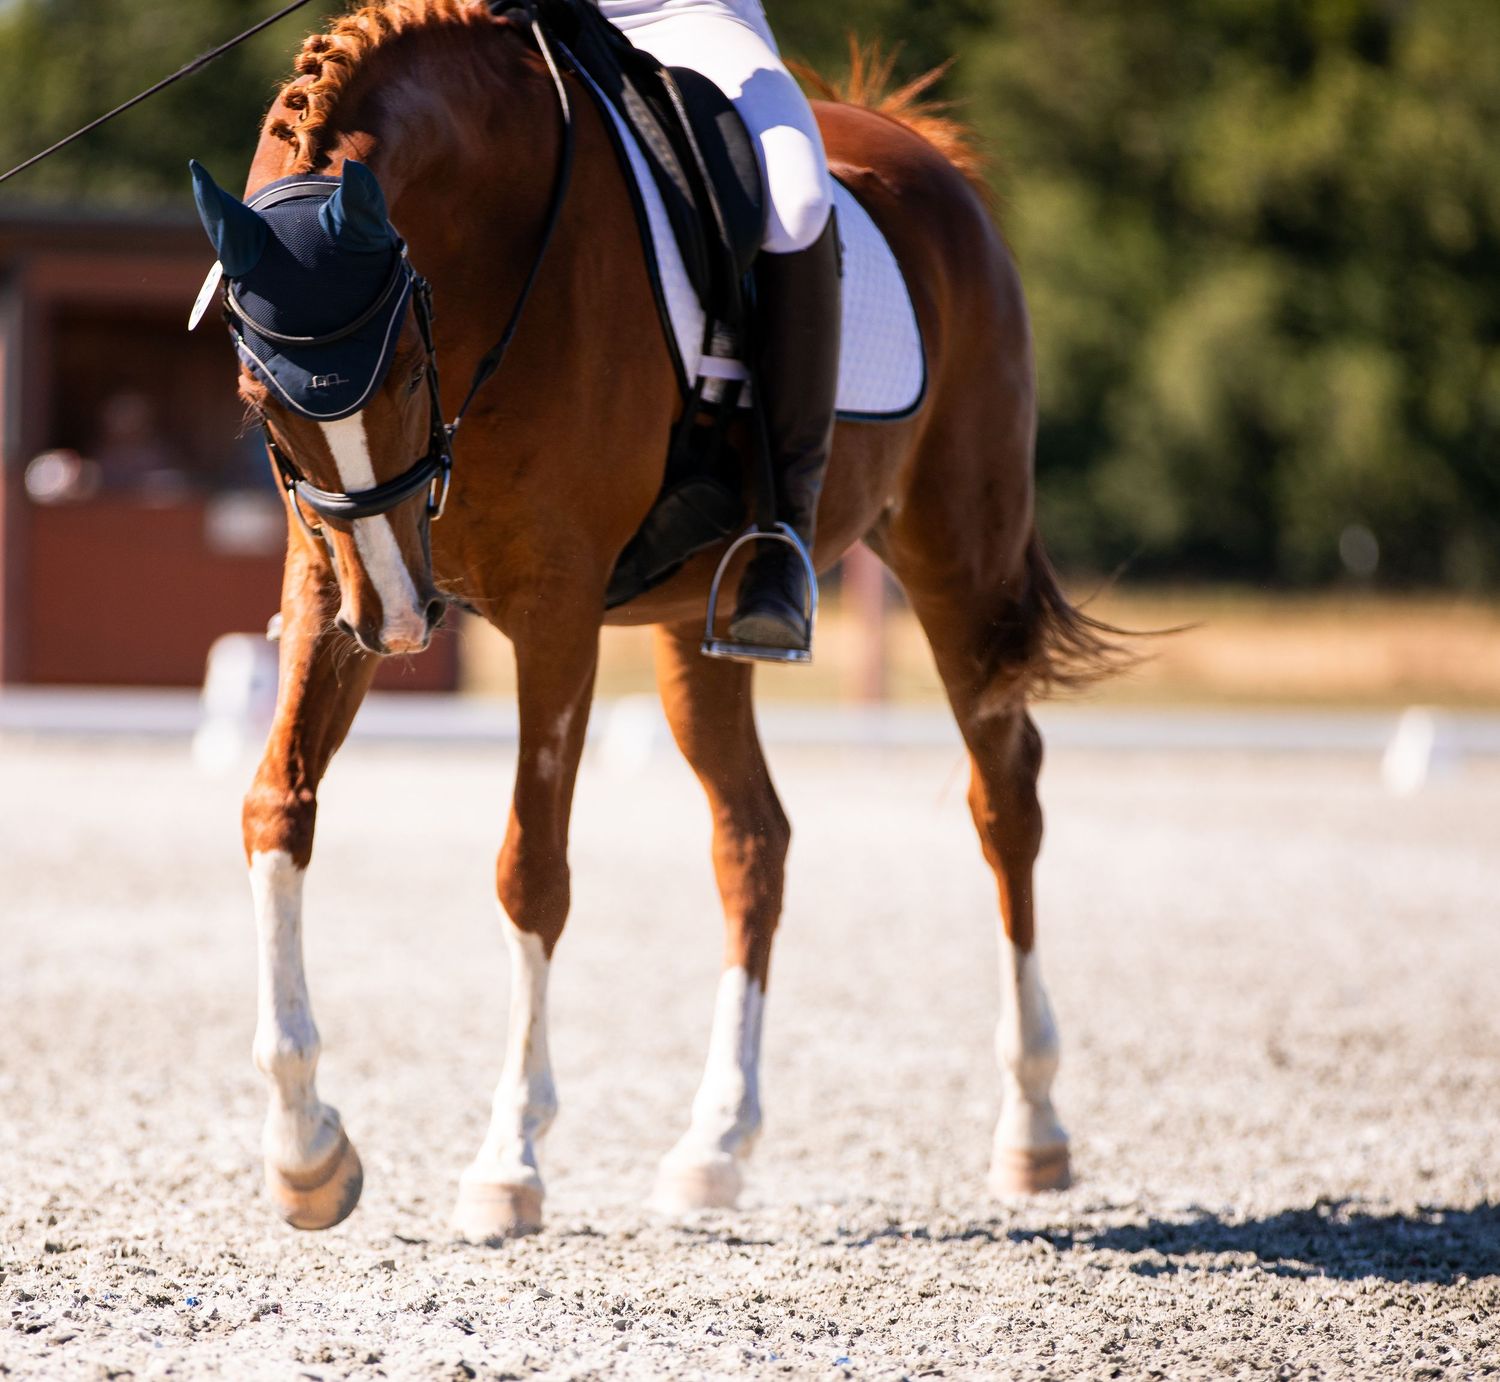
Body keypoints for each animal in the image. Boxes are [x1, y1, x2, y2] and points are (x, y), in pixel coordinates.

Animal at [215, 0, 1122, 1238]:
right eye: (262, 401)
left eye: (404, 364)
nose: (400, 623)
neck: (499, 250)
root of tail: (926, 155)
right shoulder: (330, 579)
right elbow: (277, 807)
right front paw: (307, 1148)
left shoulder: (553, 610)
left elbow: (531, 869)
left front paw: (509, 1161)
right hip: (703, 623)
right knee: (754, 837)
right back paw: (716, 1142)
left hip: (957, 559)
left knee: (1005, 801)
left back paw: (1032, 1127)